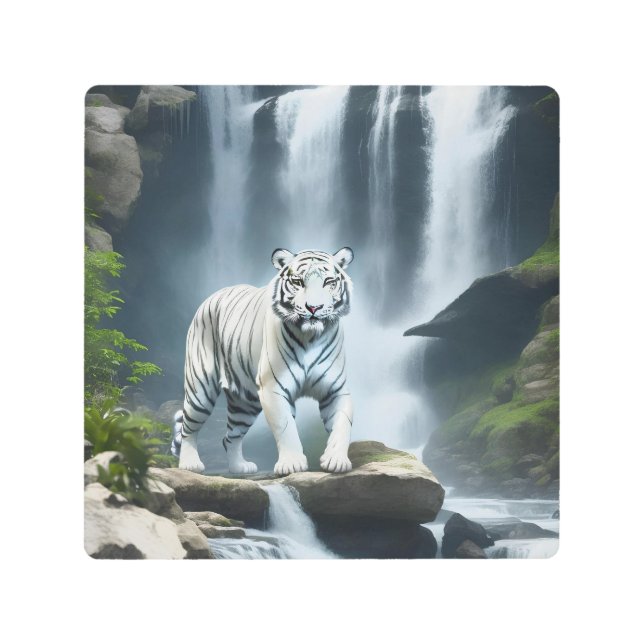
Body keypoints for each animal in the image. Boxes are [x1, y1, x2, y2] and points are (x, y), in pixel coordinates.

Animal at [174, 247, 355, 476]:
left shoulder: (335, 390)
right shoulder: (273, 387)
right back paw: (190, 464)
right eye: (298, 282)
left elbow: (342, 424)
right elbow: (286, 426)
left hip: (245, 403)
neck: (311, 337)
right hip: (200, 390)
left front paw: (336, 460)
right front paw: (292, 463)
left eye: (328, 281)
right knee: (188, 427)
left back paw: (239, 467)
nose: (314, 308)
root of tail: (213, 295)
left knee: (230, 436)